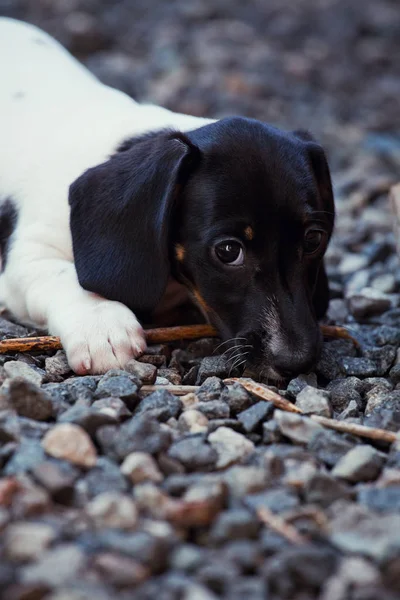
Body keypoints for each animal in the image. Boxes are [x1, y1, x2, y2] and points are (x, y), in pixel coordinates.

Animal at [0, 17, 334, 380]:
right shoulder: (28, 256)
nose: (297, 361)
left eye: (313, 239)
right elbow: (62, 277)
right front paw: (100, 323)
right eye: (228, 251)